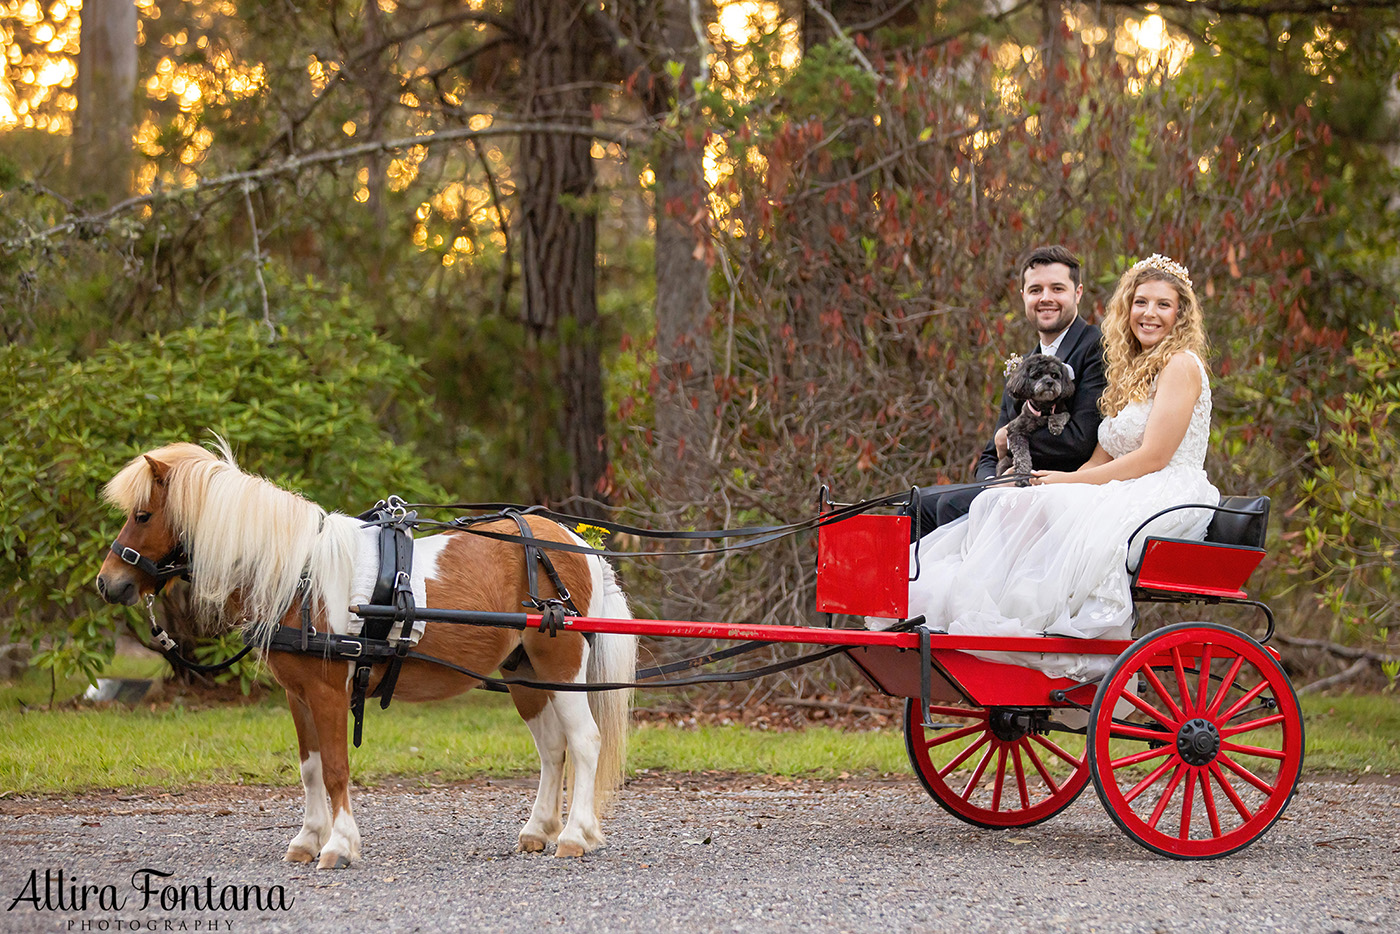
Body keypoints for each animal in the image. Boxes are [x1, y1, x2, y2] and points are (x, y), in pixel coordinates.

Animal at [91, 442, 630, 868]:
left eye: (142, 515)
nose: (107, 582)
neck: (300, 577)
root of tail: (571, 540)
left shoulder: (329, 691)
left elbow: (334, 768)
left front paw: (338, 845)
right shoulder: (299, 696)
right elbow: (310, 768)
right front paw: (307, 840)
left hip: (562, 667)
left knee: (584, 741)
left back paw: (575, 835)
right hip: (526, 676)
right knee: (553, 748)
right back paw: (539, 830)